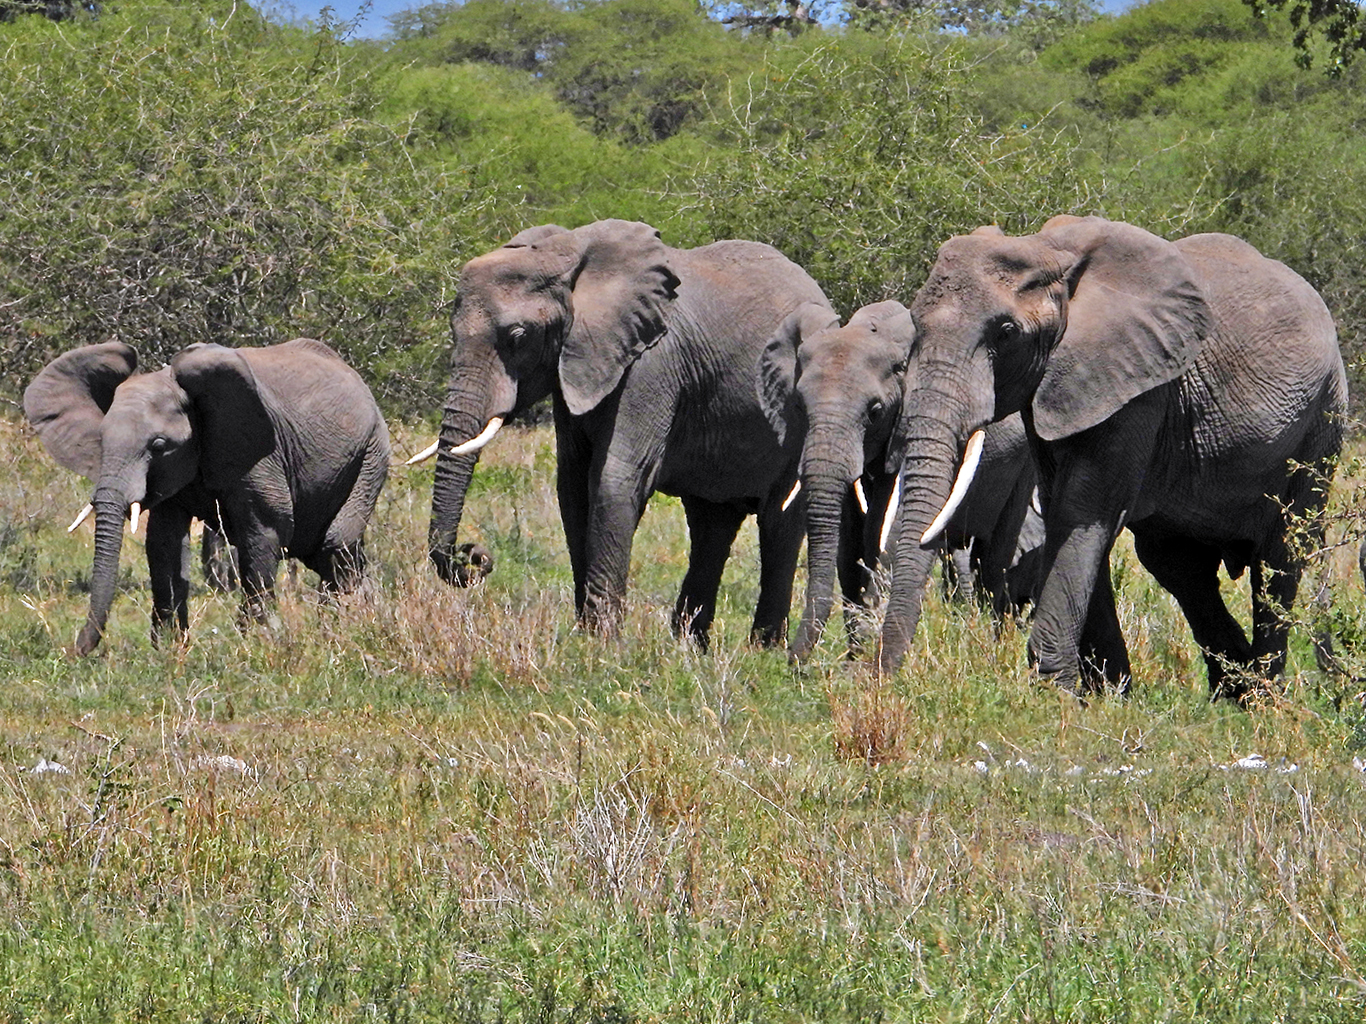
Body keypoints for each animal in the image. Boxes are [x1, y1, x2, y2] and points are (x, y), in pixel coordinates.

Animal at [24, 338, 393, 658]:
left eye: (158, 445)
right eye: (101, 439)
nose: (75, 650)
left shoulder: (257, 453)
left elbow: (265, 531)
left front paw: (260, 643)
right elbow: (163, 543)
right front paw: (168, 649)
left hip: (372, 452)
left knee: (336, 545)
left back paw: (342, 631)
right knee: (328, 552)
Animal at [415, 219, 835, 649]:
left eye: (518, 336)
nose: (475, 556)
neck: (567, 253)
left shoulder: (652, 362)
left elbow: (614, 479)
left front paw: (602, 645)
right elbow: (573, 488)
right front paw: (587, 636)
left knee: (778, 524)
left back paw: (762, 651)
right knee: (711, 524)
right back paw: (689, 648)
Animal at [759, 300, 1043, 660]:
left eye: (875, 412)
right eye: (798, 406)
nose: (792, 662)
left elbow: (891, 538)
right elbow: (850, 549)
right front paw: (855, 655)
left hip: (1024, 467)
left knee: (994, 558)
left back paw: (992, 647)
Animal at [874, 218, 1344, 704]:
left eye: (1005, 332)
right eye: (915, 326)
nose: (886, 681)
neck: (1046, 251)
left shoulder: (1141, 386)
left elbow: (1085, 510)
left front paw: (1056, 696)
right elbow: (1066, 512)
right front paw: (1107, 696)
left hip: (1321, 425)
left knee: (1279, 557)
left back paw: (1262, 700)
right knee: (1179, 567)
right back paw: (1232, 689)